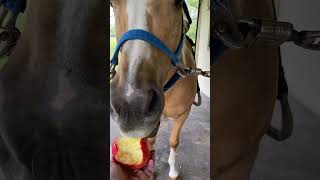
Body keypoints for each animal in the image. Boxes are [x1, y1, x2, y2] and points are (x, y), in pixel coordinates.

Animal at [110, 0, 198, 179]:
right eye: (111, 4)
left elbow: (174, 141)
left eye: (179, 2)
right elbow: (150, 142)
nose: (131, 107)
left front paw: (173, 171)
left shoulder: (183, 114)